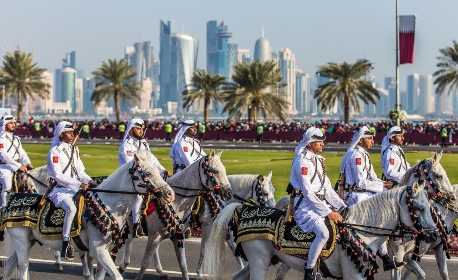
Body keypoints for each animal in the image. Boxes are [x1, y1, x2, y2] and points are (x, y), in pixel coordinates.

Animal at [2, 151, 174, 280]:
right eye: (148, 173)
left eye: (157, 170)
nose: (170, 194)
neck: (108, 204)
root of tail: (11, 200)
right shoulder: (98, 250)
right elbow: (117, 276)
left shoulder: (106, 250)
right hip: (22, 243)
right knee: (23, 270)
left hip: (29, 242)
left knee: (10, 266)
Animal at [116, 151, 233, 280]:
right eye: (215, 171)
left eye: (224, 169)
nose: (228, 193)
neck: (175, 202)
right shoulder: (207, 225)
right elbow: (145, 263)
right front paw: (199, 273)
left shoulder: (177, 235)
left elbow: (184, 265)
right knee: (130, 239)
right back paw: (124, 264)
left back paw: (159, 271)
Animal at [204, 184, 440, 280]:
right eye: (417, 207)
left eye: (429, 206)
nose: (434, 235)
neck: (362, 232)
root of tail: (243, 209)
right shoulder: (354, 275)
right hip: (259, 261)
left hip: (266, 260)